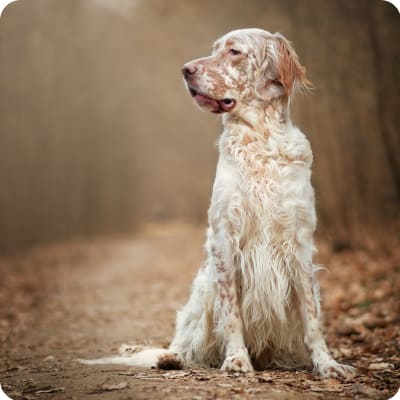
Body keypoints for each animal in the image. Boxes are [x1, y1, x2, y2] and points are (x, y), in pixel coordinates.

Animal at [80, 28, 354, 378]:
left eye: (234, 51)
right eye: (214, 49)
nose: (185, 70)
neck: (260, 141)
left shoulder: (300, 244)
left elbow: (312, 317)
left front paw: (326, 363)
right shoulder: (225, 240)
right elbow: (231, 313)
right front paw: (237, 359)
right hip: (201, 293)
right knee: (185, 342)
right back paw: (171, 358)